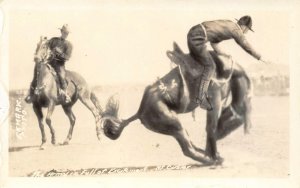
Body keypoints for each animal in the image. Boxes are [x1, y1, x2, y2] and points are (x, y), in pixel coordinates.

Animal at [101, 42, 253, 164]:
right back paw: (209, 160)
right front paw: (215, 156)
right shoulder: (215, 101)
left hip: (173, 127)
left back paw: (206, 156)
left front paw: (214, 153)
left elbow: (211, 127)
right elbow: (211, 127)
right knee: (188, 149)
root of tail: (139, 112)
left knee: (189, 144)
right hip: (174, 124)